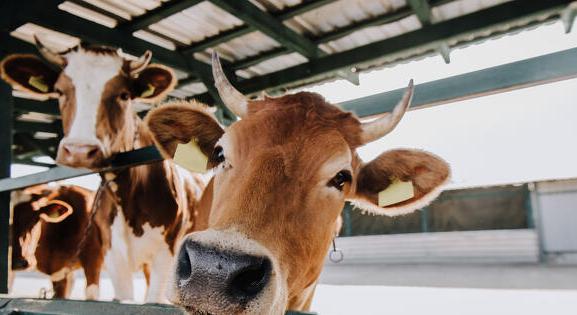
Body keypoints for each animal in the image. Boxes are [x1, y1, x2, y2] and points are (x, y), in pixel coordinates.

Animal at [0, 40, 207, 304]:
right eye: (59, 91)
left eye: (124, 95)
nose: (79, 150)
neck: (128, 199)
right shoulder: (111, 256)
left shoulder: (166, 254)